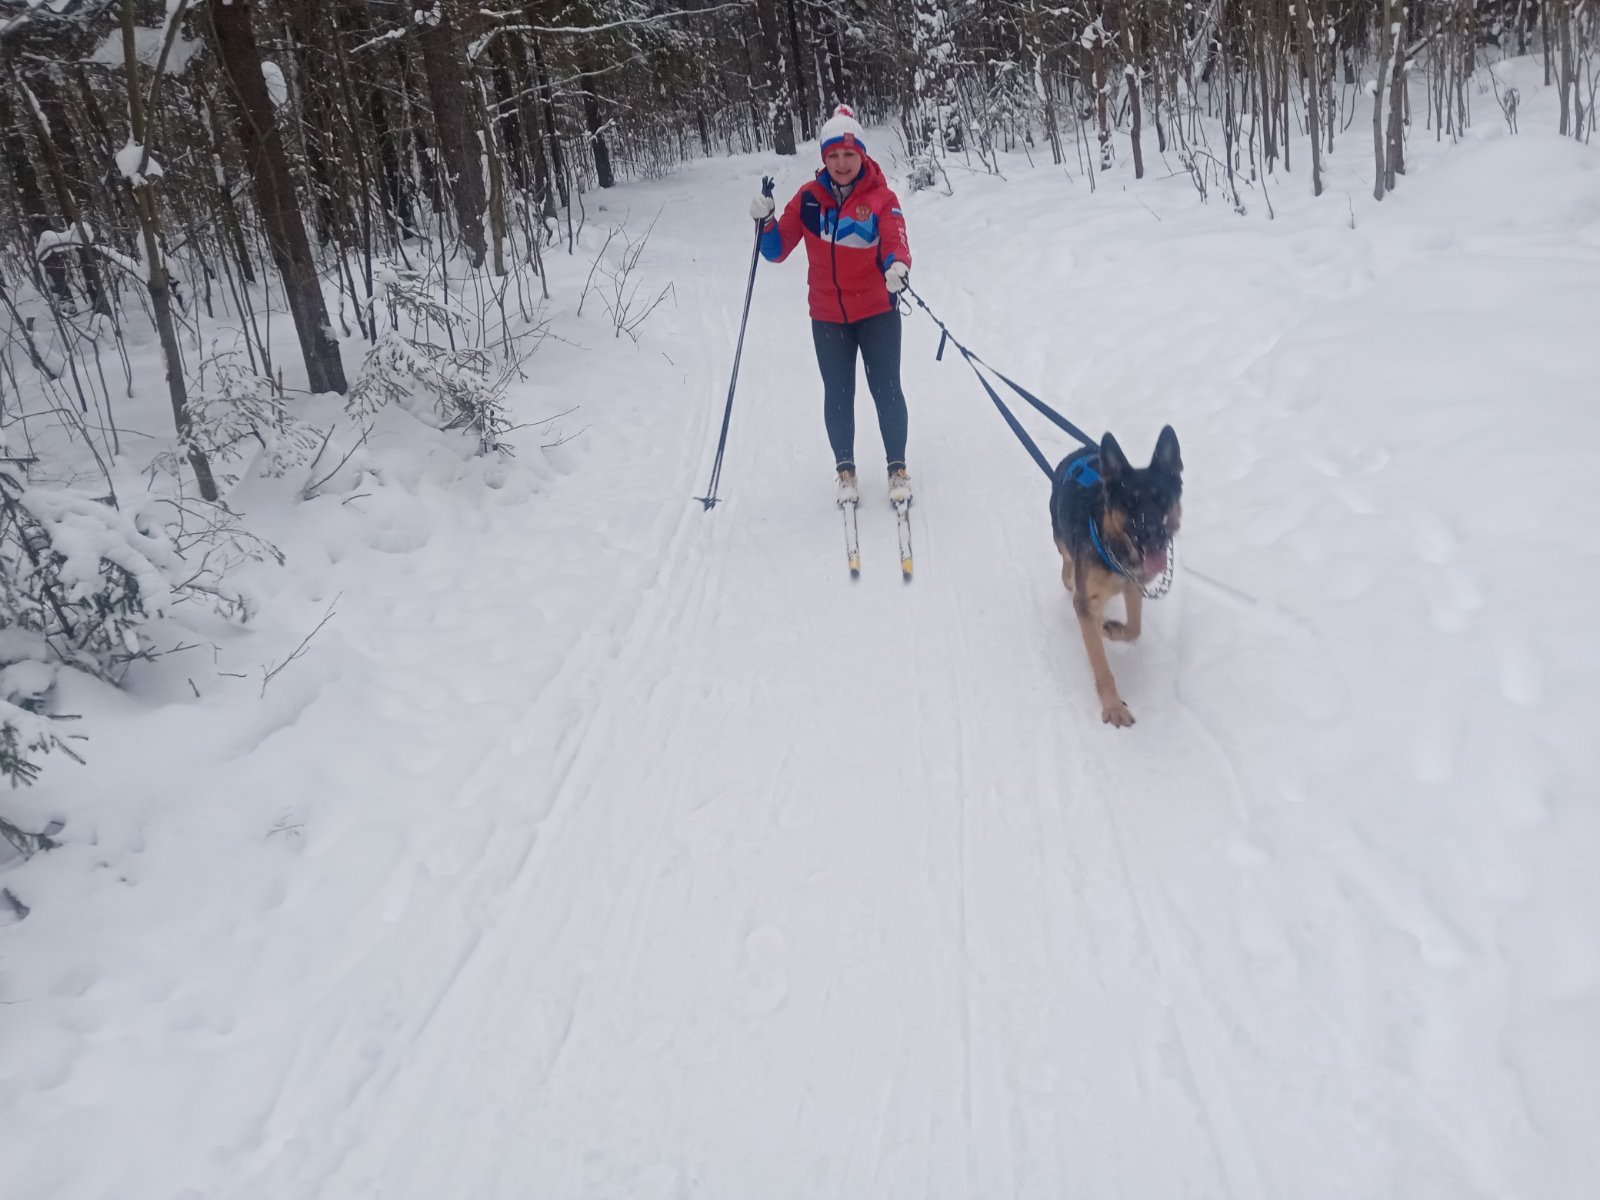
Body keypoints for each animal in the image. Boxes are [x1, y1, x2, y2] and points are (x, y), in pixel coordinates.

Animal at [1043, 432, 1184, 732]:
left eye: (1163, 499)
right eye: (1130, 502)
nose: (1153, 535)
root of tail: (1082, 452)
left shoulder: (1133, 586)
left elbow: (1135, 628)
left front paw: (1111, 629)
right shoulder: (1087, 603)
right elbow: (1102, 667)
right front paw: (1113, 707)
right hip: (1061, 538)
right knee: (1066, 565)